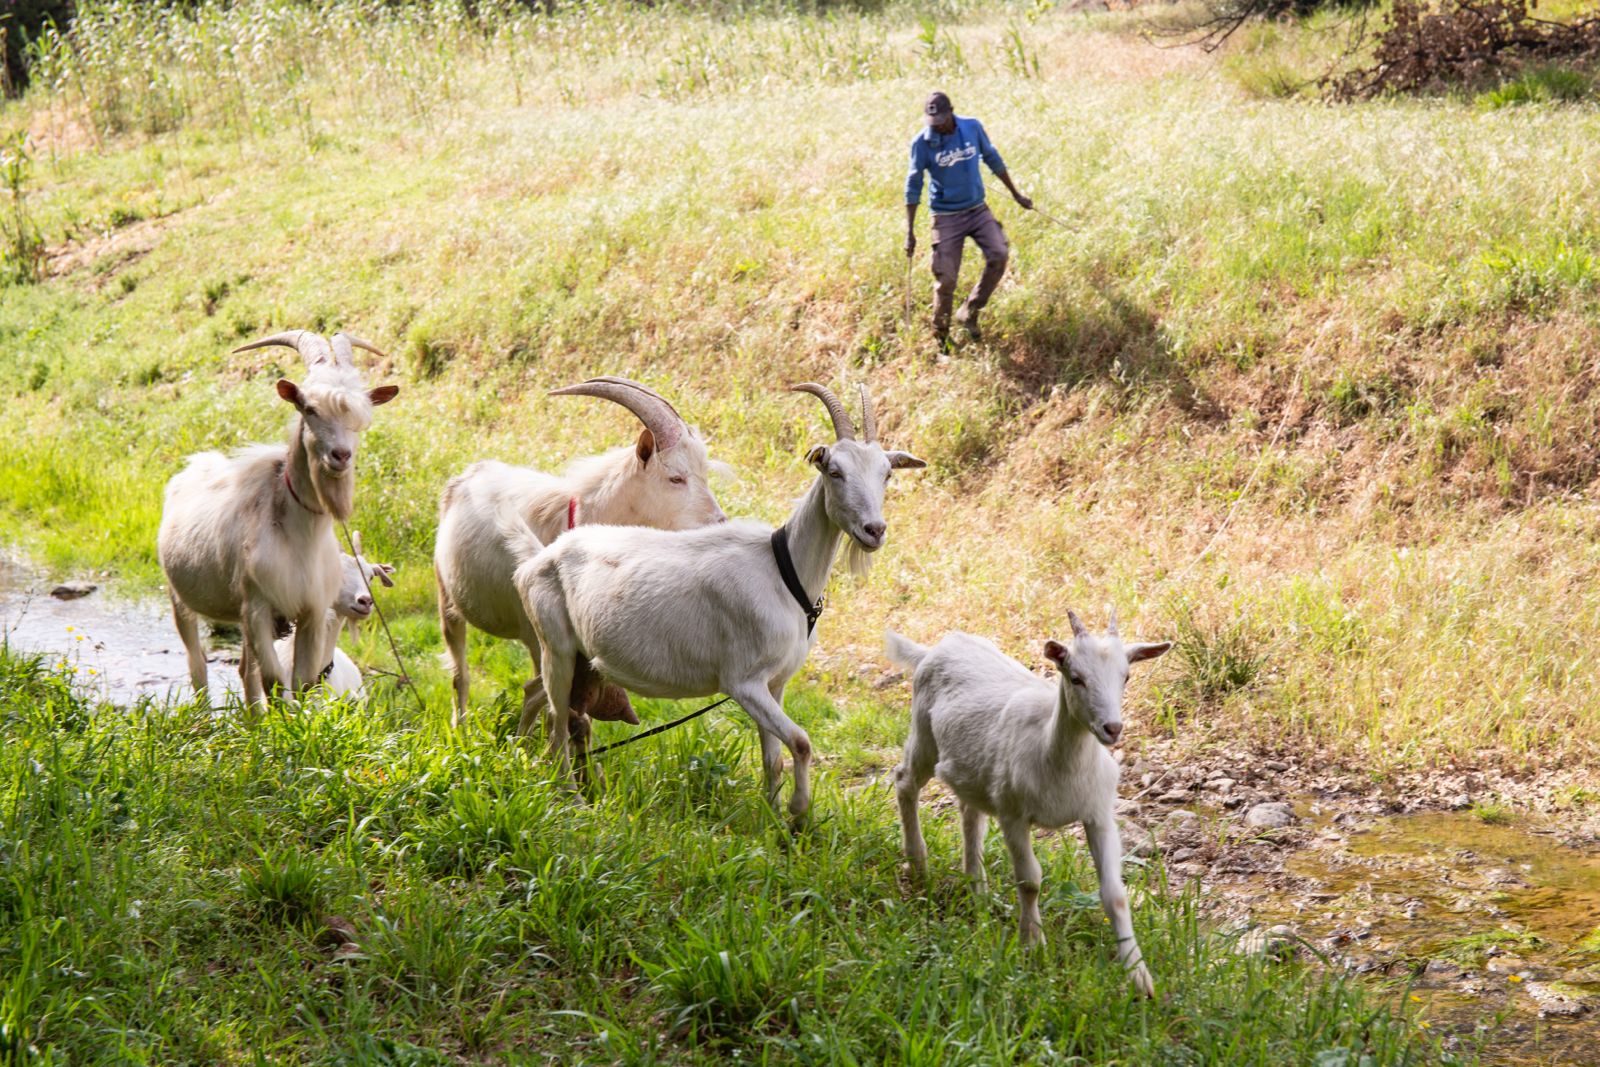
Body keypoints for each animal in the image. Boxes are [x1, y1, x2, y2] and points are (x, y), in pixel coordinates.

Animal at [154, 327, 398, 710]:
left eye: (361, 414)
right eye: (309, 408)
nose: (341, 455)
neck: (299, 536)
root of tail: (196, 464)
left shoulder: (312, 611)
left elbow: (301, 683)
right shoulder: (257, 606)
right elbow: (272, 682)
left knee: (243, 670)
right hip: (181, 598)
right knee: (198, 667)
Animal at [428, 375, 723, 735]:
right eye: (676, 478)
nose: (720, 522)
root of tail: (470, 473)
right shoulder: (540, 633)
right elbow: (545, 695)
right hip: (447, 596)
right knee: (460, 671)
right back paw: (461, 727)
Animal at [515, 383, 928, 819]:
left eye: (886, 474)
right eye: (835, 471)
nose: (874, 530)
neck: (783, 571)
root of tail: (538, 559)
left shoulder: (775, 683)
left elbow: (773, 757)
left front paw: (773, 816)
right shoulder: (743, 681)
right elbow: (801, 742)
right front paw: (799, 813)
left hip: (580, 659)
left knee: (540, 699)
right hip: (557, 649)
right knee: (559, 723)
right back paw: (572, 799)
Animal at [883, 614, 1171, 998]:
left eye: (1126, 676)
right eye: (1075, 677)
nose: (1112, 728)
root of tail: (936, 648)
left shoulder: (1099, 814)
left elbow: (1115, 894)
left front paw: (1139, 976)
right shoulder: (1013, 814)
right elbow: (1030, 881)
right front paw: (1033, 944)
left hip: (974, 771)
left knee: (970, 812)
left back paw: (978, 890)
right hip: (924, 736)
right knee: (904, 781)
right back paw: (917, 862)